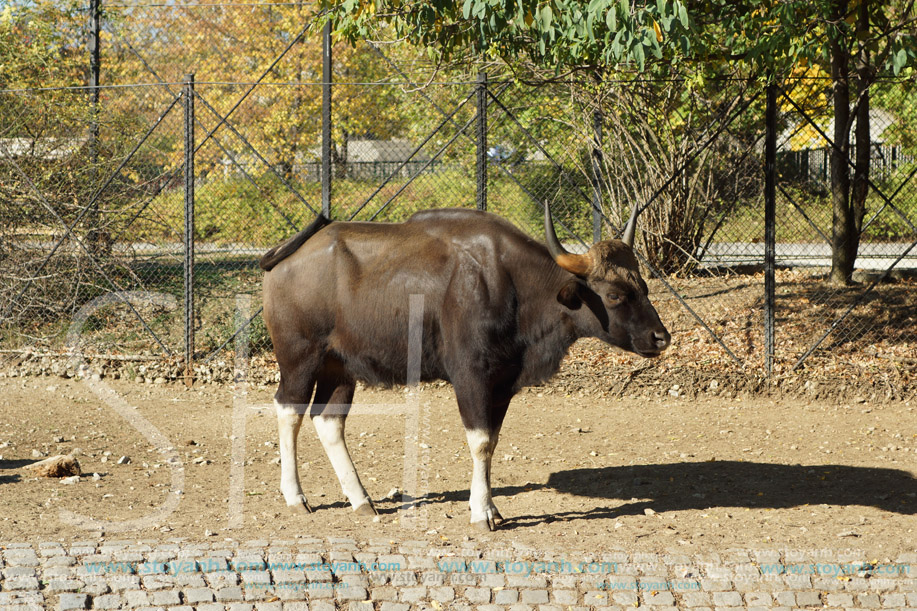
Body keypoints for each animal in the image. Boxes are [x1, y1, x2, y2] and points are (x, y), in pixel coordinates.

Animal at [262, 206, 668, 532]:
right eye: (614, 295)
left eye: (644, 287)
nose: (661, 337)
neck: (513, 284)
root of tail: (284, 257)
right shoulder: (471, 376)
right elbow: (481, 441)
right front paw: (482, 512)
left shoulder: (502, 382)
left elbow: (493, 441)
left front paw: (487, 506)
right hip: (299, 357)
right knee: (288, 409)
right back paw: (295, 497)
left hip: (339, 366)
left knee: (328, 419)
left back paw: (361, 499)